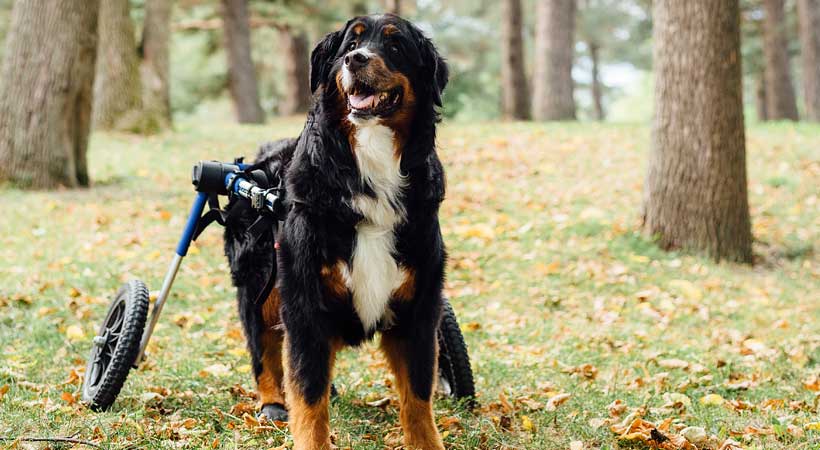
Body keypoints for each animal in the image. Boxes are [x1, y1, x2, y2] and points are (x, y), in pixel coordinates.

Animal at [224, 14, 448, 450]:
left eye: (395, 45)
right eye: (351, 44)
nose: (355, 60)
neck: (371, 165)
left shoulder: (419, 307)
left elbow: (418, 394)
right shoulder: (304, 302)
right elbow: (308, 395)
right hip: (259, 281)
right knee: (264, 348)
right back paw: (272, 401)